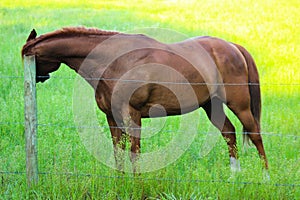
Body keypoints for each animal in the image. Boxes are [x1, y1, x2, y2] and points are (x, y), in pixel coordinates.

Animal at [22, 26, 268, 173]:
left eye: (30, 57)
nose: (34, 78)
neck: (112, 60)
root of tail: (234, 47)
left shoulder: (132, 115)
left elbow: (134, 152)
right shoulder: (112, 117)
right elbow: (118, 152)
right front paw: (120, 182)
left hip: (240, 105)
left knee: (255, 134)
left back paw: (265, 176)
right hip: (212, 105)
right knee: (229, 134)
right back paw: (234, 176)